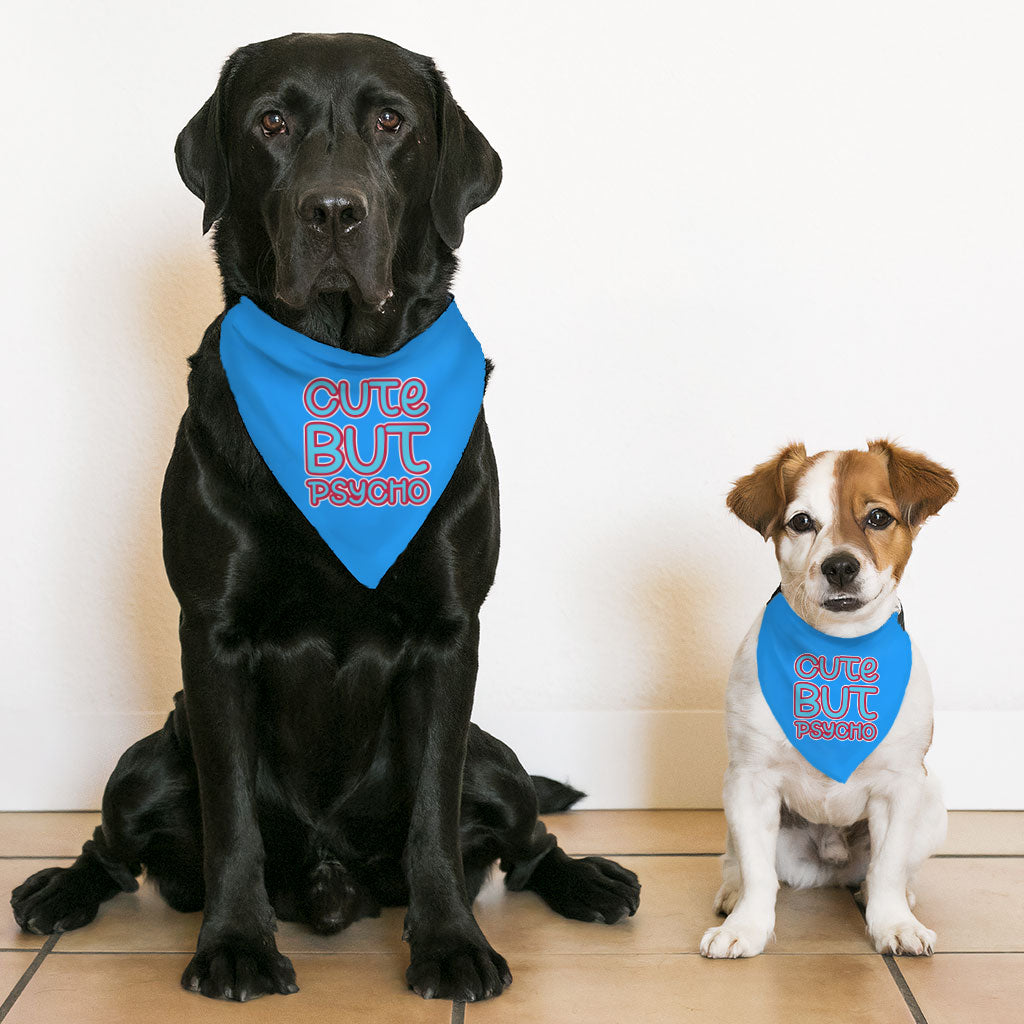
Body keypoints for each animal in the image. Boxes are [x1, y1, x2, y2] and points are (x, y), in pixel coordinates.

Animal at [9, 29, 638, 999]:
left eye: (391, 122)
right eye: (271, 122)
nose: (333, 211)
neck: (339, 377)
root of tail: (332, 876)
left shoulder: (450, 635)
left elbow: (432, 818)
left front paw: (450, 945)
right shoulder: (214, 636)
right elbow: (232, 817)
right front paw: (234, 944)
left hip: (493, 760)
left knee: (529, 835)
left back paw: (589, 881)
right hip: (146, 761)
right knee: (112, 844)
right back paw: (60, 890)